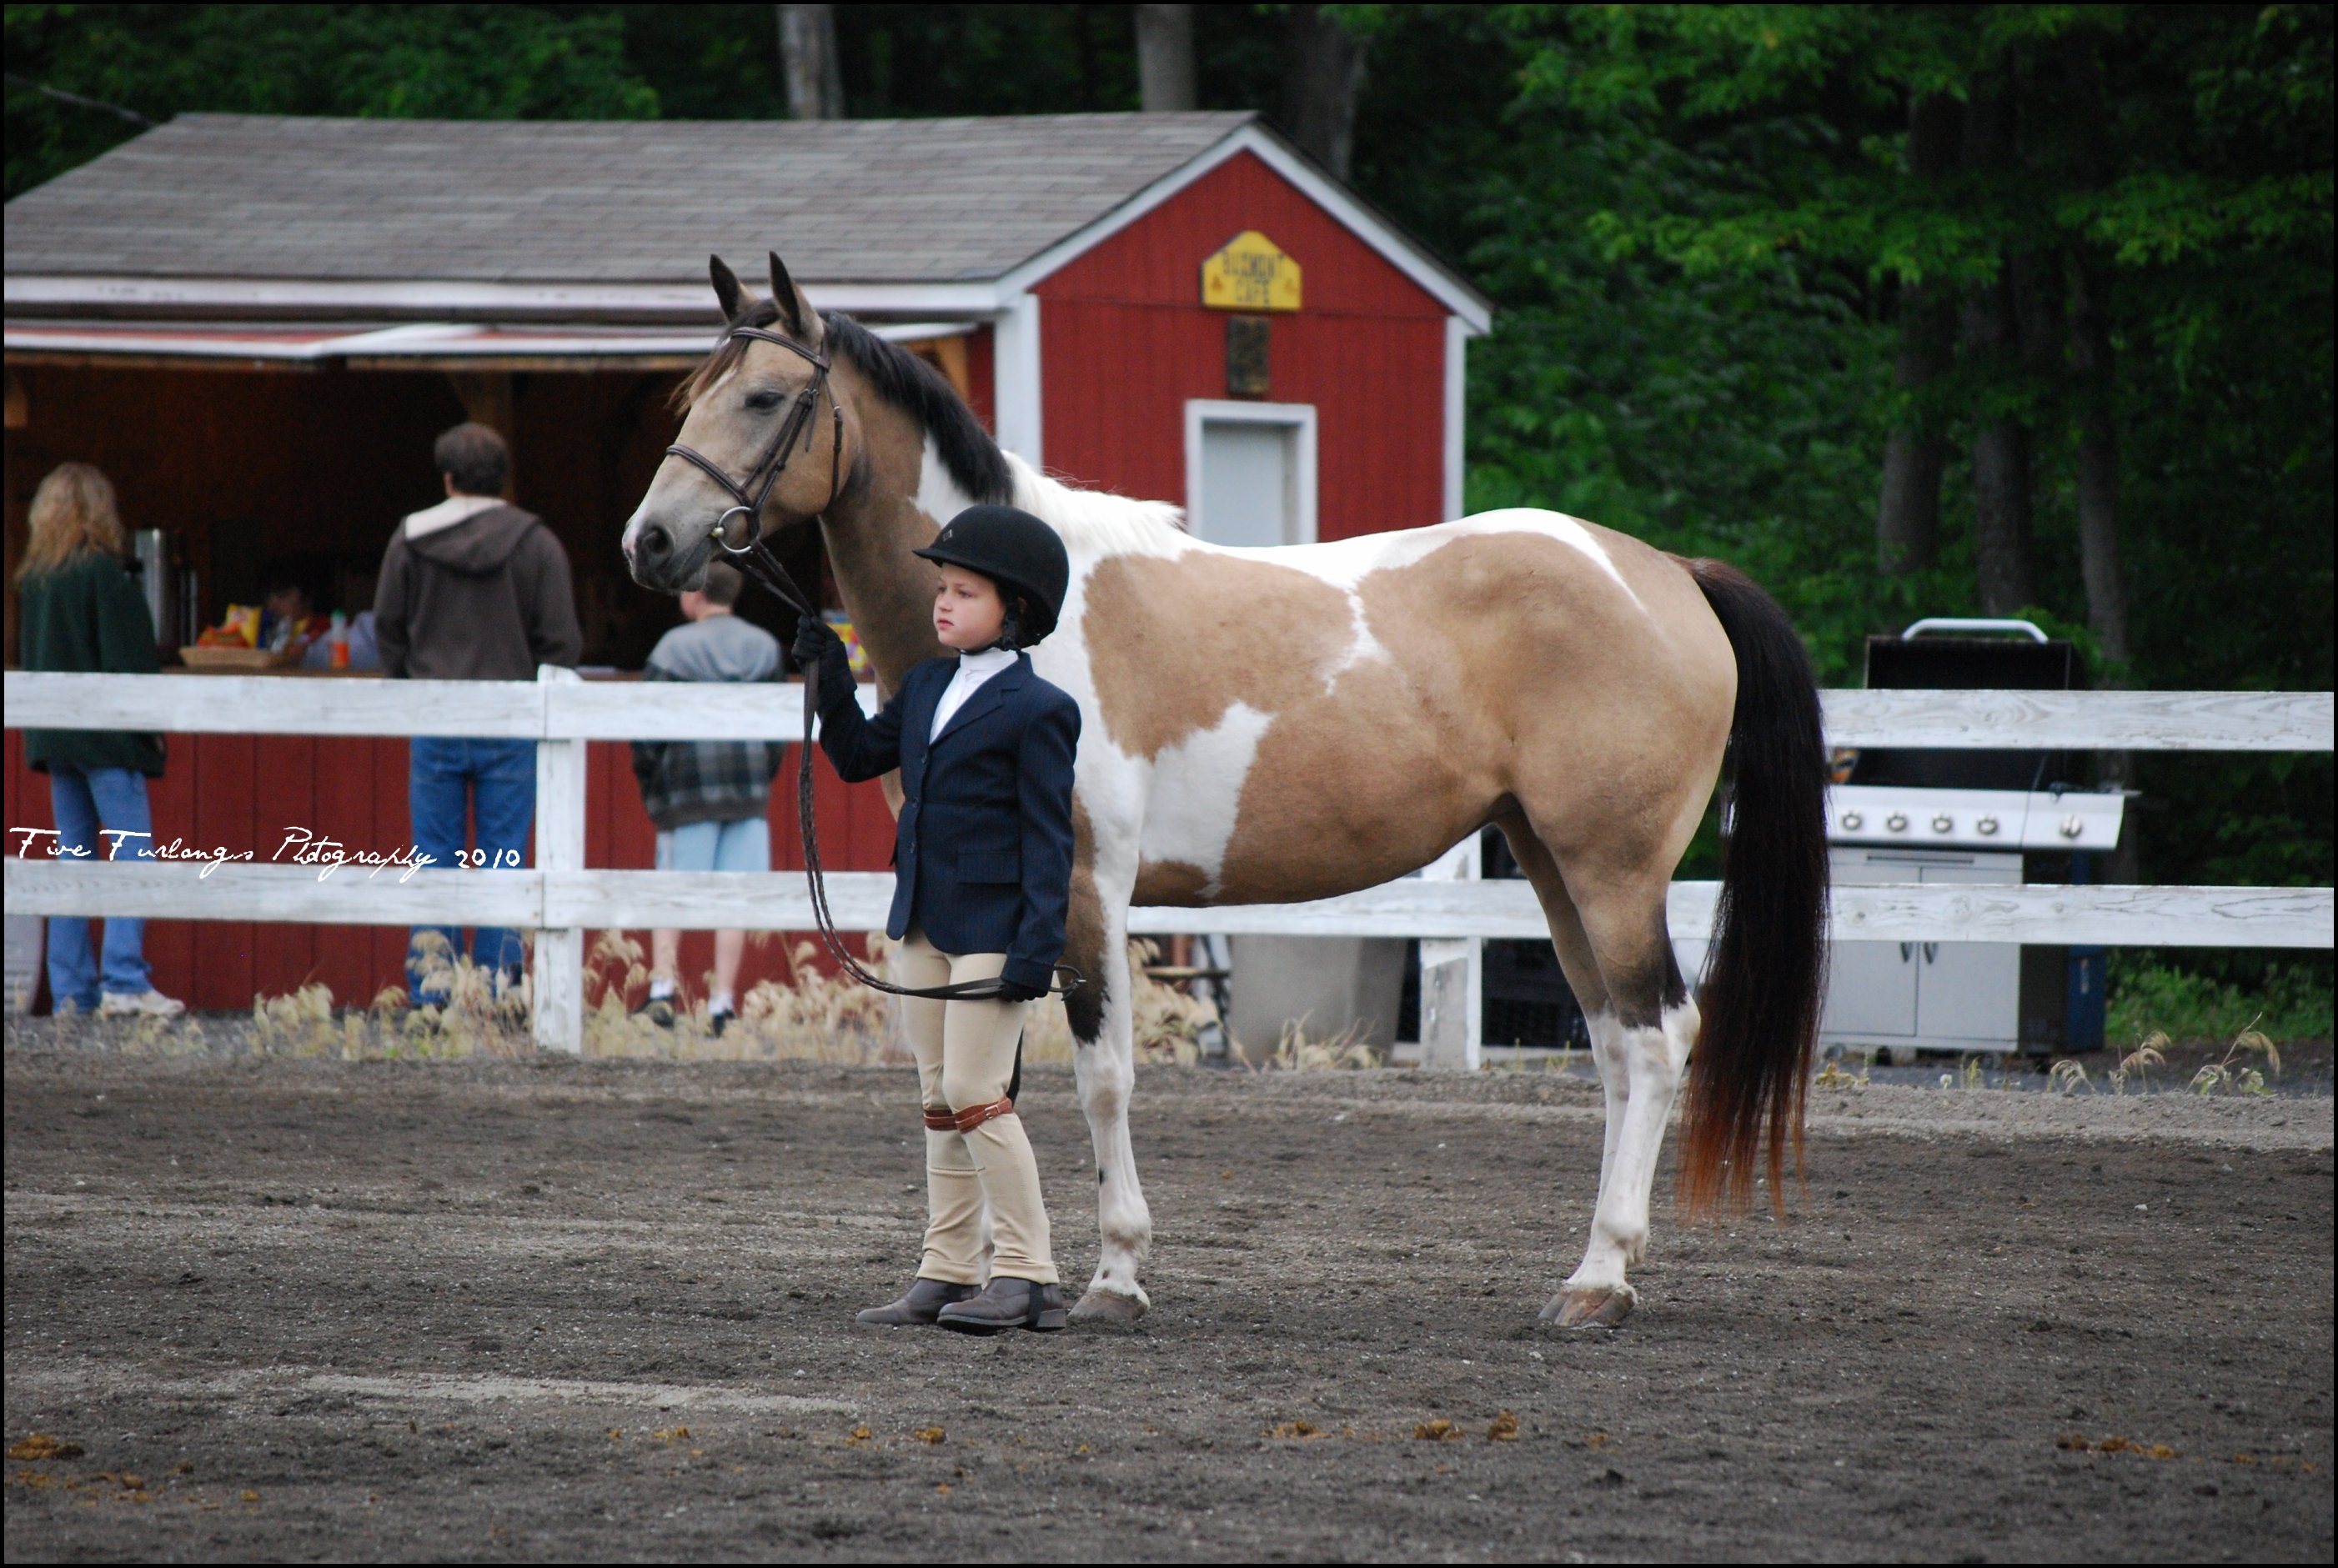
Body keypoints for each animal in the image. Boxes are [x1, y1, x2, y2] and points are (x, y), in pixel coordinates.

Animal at [631, 254, 1833, 1327]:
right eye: (691, 395)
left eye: (766, 397)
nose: (651, 541)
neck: (1023, 627)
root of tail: (1669, 574)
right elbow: (988, 1086)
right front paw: (972, 1286)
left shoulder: (1083, 891)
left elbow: (1101, 1078)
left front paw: (1110, 1281)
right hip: (1549, 864)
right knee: (1615, 1047)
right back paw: (1602, 1270)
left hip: (1611, 871)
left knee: (1658, 1036)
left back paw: (1597, 1281)